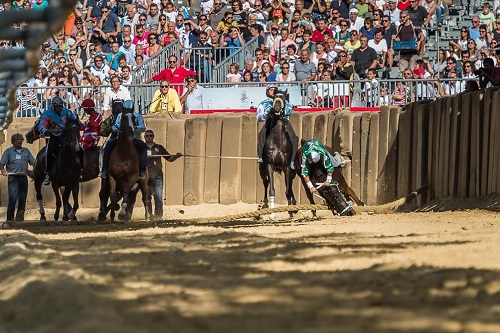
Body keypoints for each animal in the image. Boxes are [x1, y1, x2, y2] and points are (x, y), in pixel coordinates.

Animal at [258, 88, 296, 218]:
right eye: (274, 97)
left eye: (283, 97)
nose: (277, 108)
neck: (278, 141)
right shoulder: (269, 166)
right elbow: (272, 190)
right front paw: (272, 214)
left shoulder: (287, 167)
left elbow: (287, 190)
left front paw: (290, 211)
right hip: (262, 170)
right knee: (266, 183)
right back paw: (264, 204)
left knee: (290, 185)